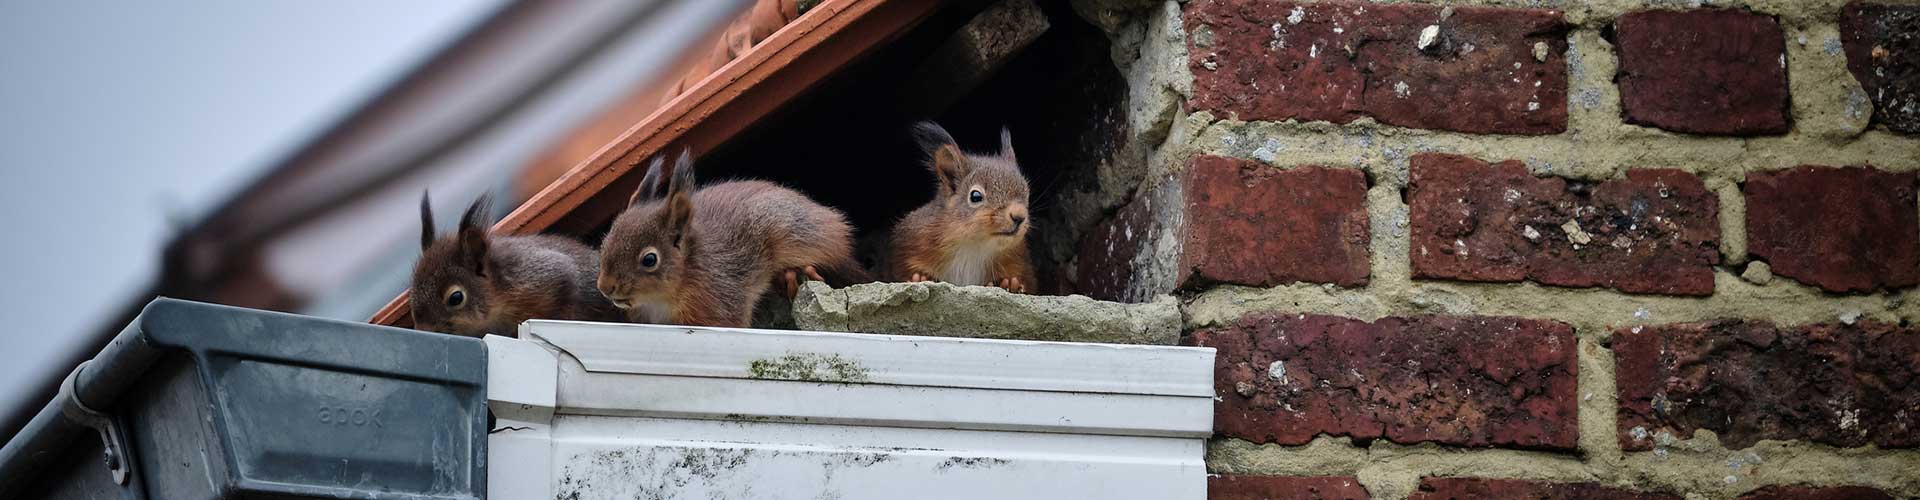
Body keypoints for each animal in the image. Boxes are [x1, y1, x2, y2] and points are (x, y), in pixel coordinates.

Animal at [883, 121, 1036, 292]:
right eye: (975, 196)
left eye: (1027, 192)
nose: (1019, 216)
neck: (974, 245)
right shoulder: (909, 242)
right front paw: (919, 278)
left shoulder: (1019, 259)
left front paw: (1010, 283)